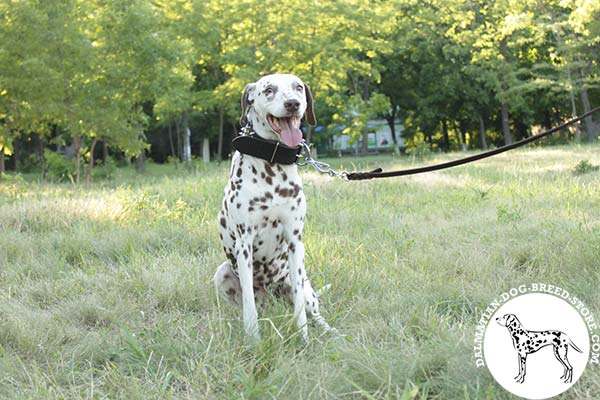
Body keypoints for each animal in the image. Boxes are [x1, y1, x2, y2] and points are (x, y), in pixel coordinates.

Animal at [216, 72, 336, 340]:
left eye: (298, 87)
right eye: (268, 90)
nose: (293, 103)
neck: (271, 161)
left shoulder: (295, 239)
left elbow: (300, 308)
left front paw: (303, 337)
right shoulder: (244, 243)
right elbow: (249, 305)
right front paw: (253, 338)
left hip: (303, 285)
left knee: (313, 308)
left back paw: (330, 331)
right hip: (222, 273)